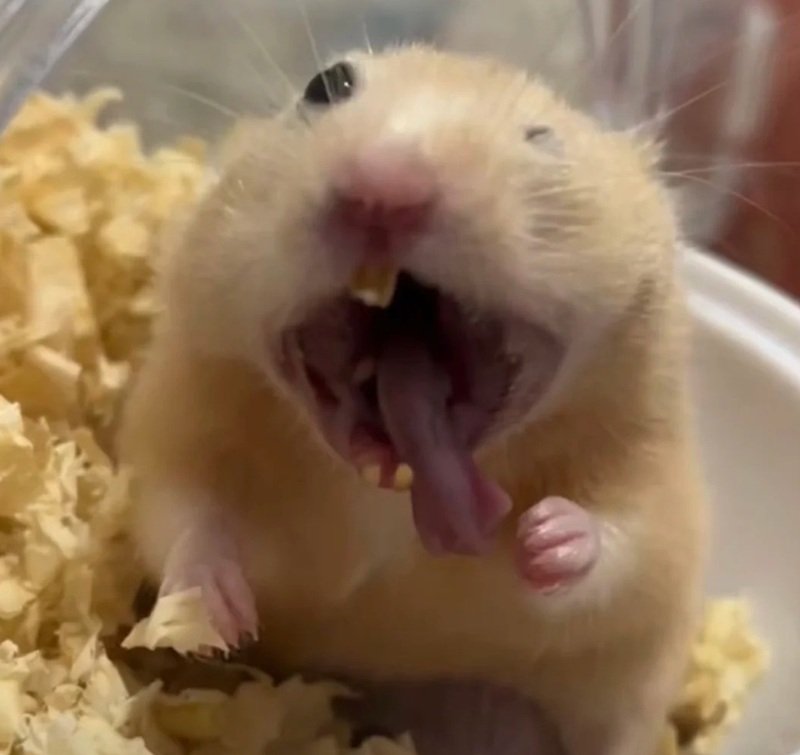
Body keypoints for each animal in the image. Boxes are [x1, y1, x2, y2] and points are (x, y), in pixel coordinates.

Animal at [119, 45, 708, 755]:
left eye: (542, 137)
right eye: (326, 86)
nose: (385, 187)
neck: (388, 494)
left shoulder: (657, 483)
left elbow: (624, 549)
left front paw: (545, 536)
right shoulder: (180, 423)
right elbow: (187, 516)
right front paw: (221, 618)